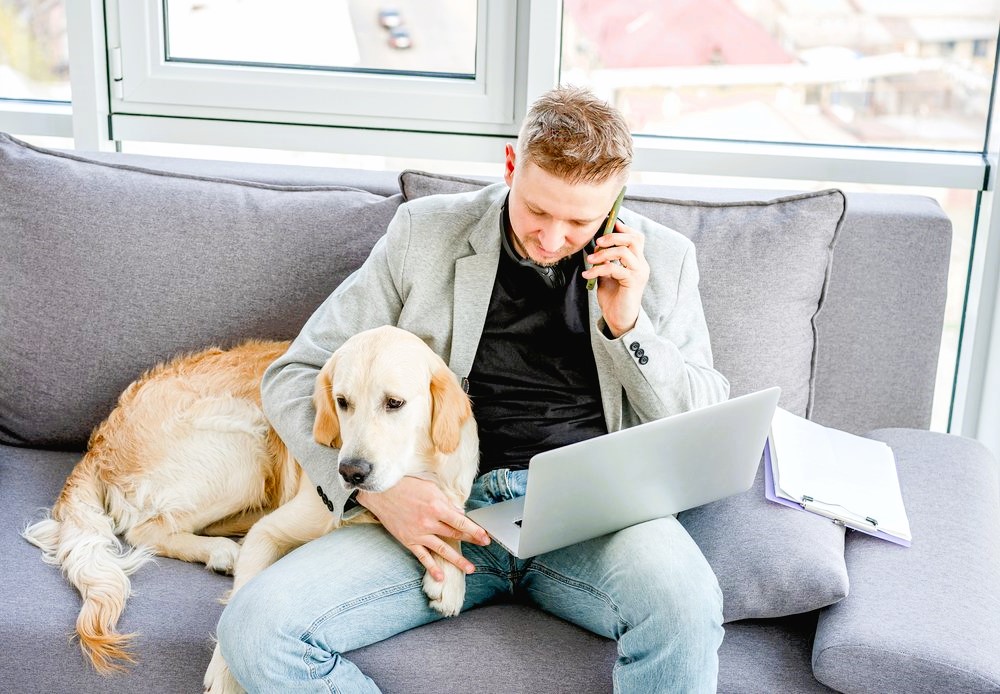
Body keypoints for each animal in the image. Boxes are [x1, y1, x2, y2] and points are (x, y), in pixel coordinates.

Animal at [20, 328, 480, 692]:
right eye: (342, 402)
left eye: (395, 403)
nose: (350, 472)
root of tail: (99, 439)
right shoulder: (272, 531)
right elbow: (238, 608)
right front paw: (226, 676)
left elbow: (457, 518)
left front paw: (452, 576)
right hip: (244, 444)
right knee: (145, 530)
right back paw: (223, 551)